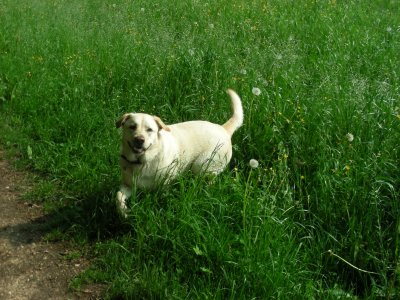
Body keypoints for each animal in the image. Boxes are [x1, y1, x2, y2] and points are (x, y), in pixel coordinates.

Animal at [114, 88, 242, 216]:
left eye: (149, 129)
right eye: (132, 127)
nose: (139, 140)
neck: (142, 161)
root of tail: (223, 128)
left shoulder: (164, 185)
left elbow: (161, 198)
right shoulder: (128, 186)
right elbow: (118, 196)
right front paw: (123, 211)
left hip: (202, 164)